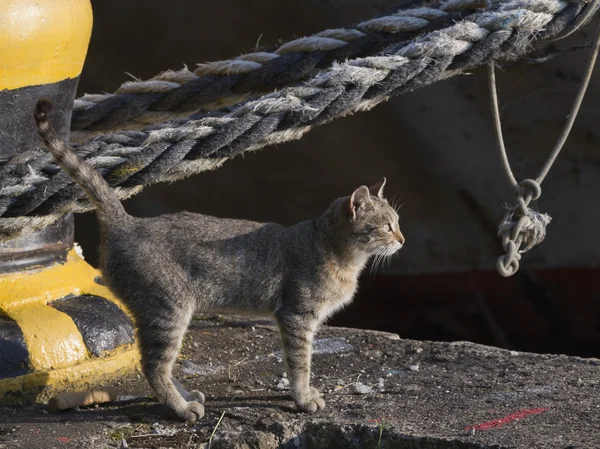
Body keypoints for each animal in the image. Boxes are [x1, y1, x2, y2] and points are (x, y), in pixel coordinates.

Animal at [35, 98, 406, 420]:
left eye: (398, 223)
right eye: (387, 227)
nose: (402, 240)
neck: (334, 250)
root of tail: (126, 222)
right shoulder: (297, 318)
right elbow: (300, 365)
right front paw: (303, 398)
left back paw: (185, 396)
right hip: (168, 311)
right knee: (154, 366)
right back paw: (181, 408)